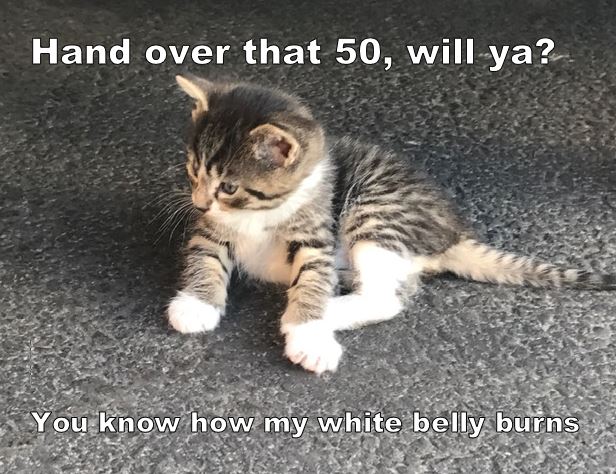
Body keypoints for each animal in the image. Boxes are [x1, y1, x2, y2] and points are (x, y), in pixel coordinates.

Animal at [166, 73, 615, 374]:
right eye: (192, 171)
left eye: (228, 186)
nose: (199, 202)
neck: (257, 214)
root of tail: (452, 232)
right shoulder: (210, 230)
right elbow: (204, 258)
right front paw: (197, 303)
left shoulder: (317, 235)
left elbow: (313, 279)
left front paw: (308, 330)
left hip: (375, 213)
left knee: (387, 298)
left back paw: (325, 311)